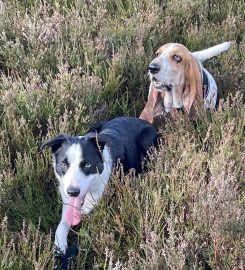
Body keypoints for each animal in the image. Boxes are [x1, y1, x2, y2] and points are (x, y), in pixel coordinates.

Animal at [42, 116, 159, 260]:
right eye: (63, 165)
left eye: (87, 165)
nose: (73, 192)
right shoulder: (67, 204)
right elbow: (62, 225)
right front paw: (59, 246)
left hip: (146, 139)